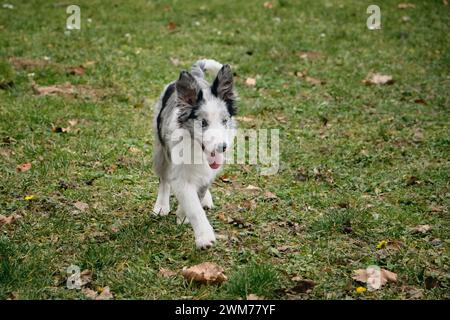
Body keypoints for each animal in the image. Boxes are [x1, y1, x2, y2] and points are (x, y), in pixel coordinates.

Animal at [153, 60, 237, 249]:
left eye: (224, 120)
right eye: (203, 123)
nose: (222, 147)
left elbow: (199, 193)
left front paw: (183, 215)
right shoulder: (180, 171)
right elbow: (193, 206)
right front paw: (204, 238)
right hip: (161, 148)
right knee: (164, 179)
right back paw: (161, 205)